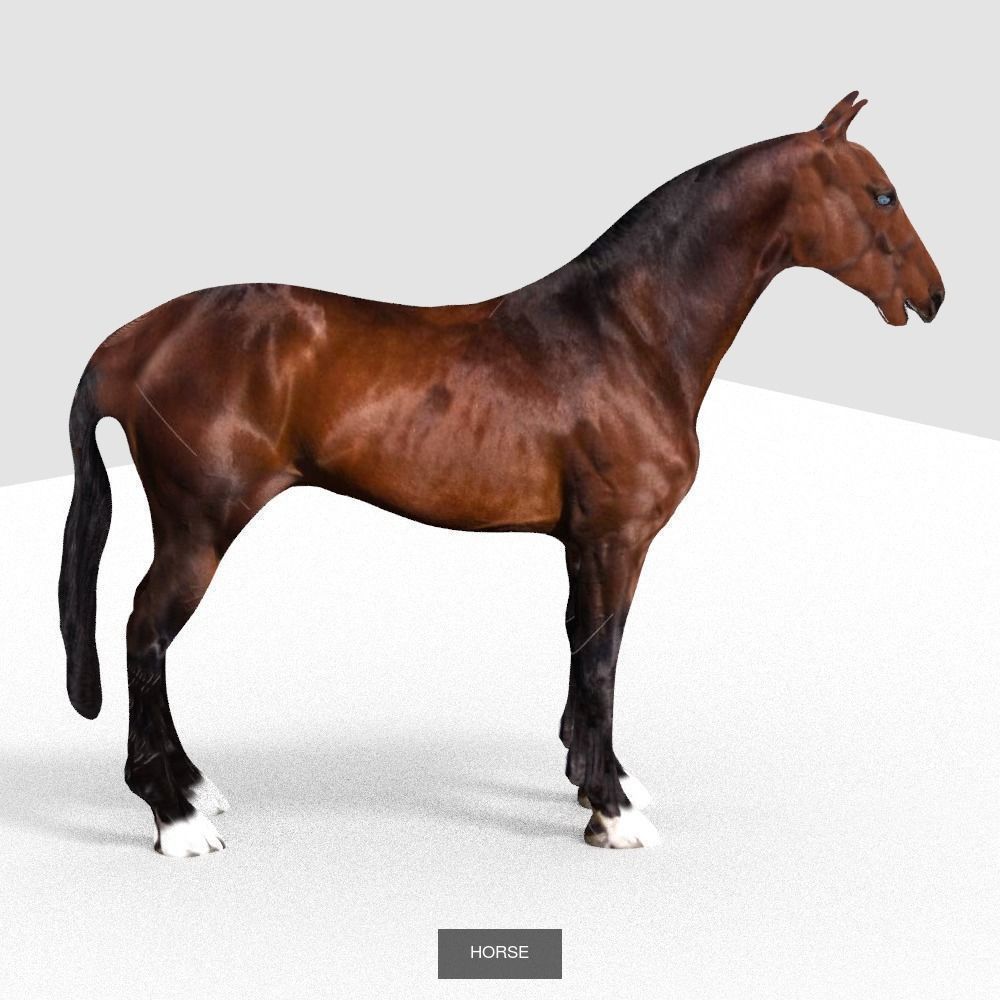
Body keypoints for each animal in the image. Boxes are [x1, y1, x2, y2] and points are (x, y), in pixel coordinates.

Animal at [58, 92, 944, 857]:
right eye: (883, 194)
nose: (934, 297)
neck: (627, 334)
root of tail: (136, 340)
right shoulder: (615, 538)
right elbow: (601, 659)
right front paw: (612, 814)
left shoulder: (585, 543)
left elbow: (586, 650)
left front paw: (599, 781)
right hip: (199, 530)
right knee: (144, 632)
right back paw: (175, 819)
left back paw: (193, 789)